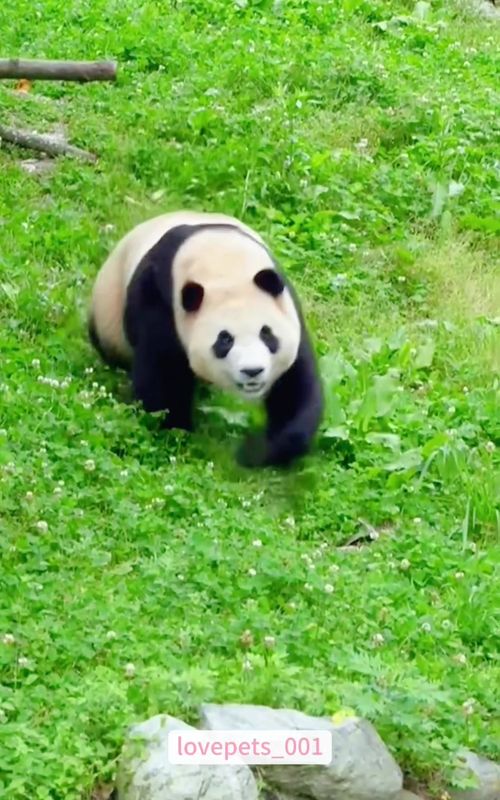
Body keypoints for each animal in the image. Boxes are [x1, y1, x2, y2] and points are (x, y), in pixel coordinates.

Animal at [88, 210, 323, 467]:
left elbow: (294, 386)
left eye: (266, 334)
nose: (252, 371)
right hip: (109, 312)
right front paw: (179, 434)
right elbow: (164, 374)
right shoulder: (159, 301)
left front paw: (258, 451)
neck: (222, 261)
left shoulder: (287, 304)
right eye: (225, 340)